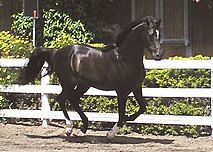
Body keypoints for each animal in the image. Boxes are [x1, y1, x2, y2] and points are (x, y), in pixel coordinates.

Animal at [19, 16, 162, 139]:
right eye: (150, 34)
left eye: (159, 34)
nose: (158, 55)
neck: (124, 58)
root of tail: (57, 51)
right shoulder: (121, 91)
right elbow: (121, 115)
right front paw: (110, 134)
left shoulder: (136, 87)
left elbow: (142, 108)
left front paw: (127, 119)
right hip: (68, 83)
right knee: (61, 99)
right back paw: (69, 128)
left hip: (84, 84)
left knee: (73, 99)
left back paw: (84, 126)